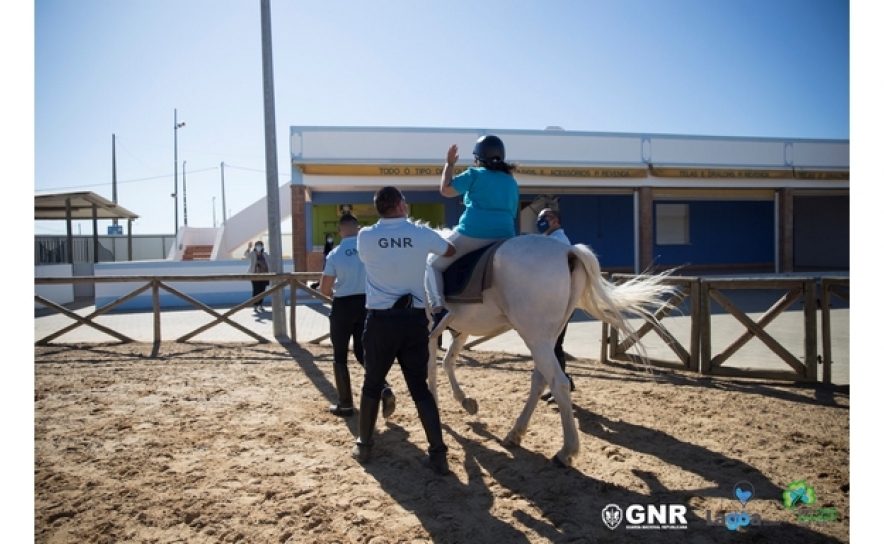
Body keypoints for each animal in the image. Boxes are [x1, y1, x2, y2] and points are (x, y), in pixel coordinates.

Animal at [428, 234, 676, 468]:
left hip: (536, 338)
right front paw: (464, 401)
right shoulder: (460, 331)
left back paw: (565, 452)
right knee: (540, 380)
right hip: (546, 338)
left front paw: (436, 405)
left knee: (558, 382)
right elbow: (446, 362)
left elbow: (432, 369)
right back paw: (516, 433)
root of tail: (567, 250)